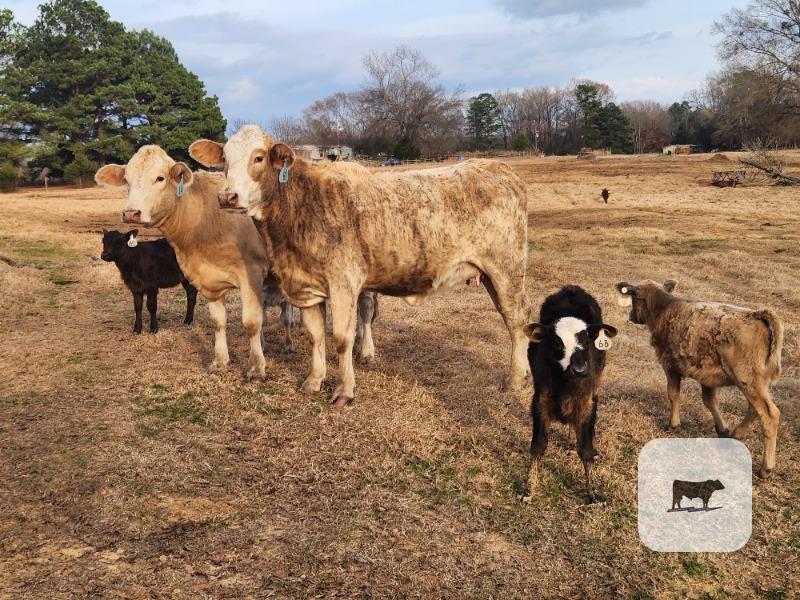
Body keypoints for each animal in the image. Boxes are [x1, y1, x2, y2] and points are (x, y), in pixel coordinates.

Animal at [189, 125, 530, 406]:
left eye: (258, 157)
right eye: (224, 159)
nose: (227, 196)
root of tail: (494, 166)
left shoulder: (344, 282)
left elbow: (342, 339)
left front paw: (344, 390)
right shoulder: (307, 288)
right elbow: (316, 336)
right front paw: (314, 381)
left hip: (507, 269)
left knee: (516, 320)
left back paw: (515, 379)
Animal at [523, 286, 618, 502]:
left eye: (587, 341)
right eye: (557, 342)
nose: (579, 369)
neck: (566, 383)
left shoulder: (588, 403)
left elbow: (586, 450)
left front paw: (593, 492)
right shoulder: (539, 401)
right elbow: (538, 446)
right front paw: (529, 489)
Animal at [615, 279, 783, 478]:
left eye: (633, 299)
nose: (631, 316)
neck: (665, 308)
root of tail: (758, 314)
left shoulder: (670, 367)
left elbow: (673, 395)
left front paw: (673, 424)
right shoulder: (707, 378)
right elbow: (709, 401)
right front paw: (723, 429)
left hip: (748, 381)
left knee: (769, 414)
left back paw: (766, 468)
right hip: (755, 384)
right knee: (754, 409)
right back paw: (737, 433)